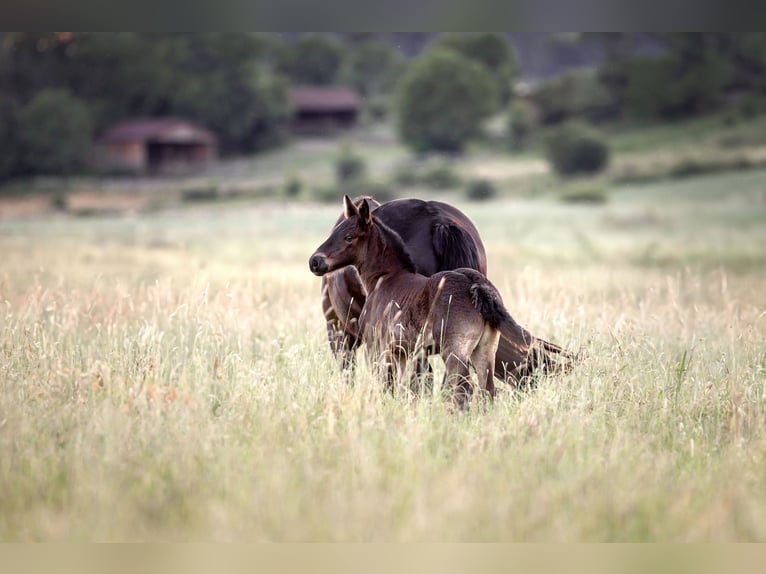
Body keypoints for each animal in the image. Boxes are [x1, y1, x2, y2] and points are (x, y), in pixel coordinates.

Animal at [312, 198, 544, 410]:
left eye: (348, 237)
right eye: (334, 233)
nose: (315, 261)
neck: (387, 278)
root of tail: (475, 286)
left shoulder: (374, 345)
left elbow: (386, 383)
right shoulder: (404, 351)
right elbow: (402, 386)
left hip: (455, 352)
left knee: (462, 388)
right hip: (484, 351)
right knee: (486, 390)